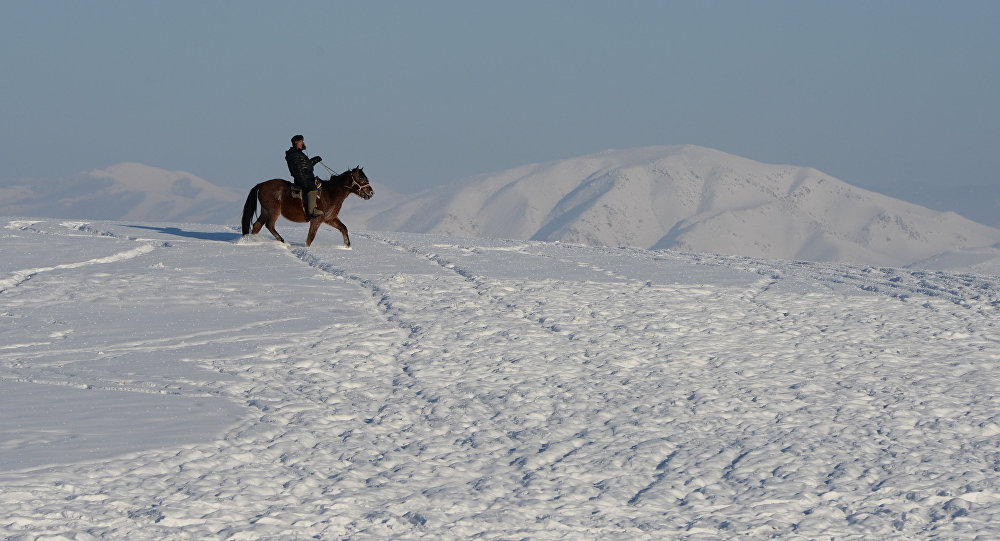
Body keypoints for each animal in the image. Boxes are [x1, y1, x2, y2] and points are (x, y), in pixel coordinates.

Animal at [241, 166, 374, 247]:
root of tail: (261, 185)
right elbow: (310, 237)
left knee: (257, 225)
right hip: (273, 211)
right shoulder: (317, 220)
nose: (371, 192)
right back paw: (282, 241)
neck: (330, 194)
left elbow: (343, 228)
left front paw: (347, 246)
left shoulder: (330, 219)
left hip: (265, 211)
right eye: (360, 178)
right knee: (269, 225)